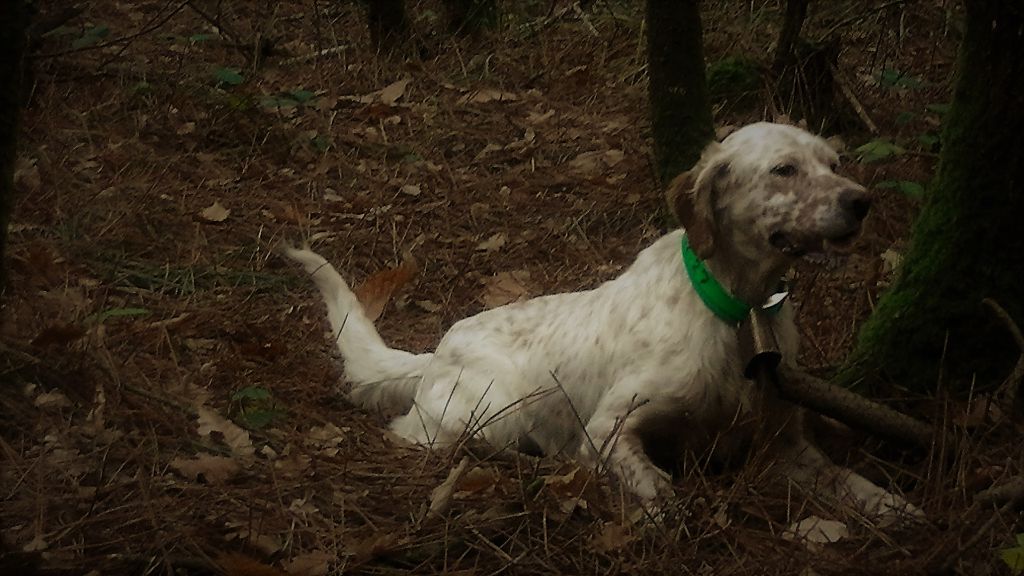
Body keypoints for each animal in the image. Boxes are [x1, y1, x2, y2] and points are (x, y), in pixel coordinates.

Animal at [286, 123, 921, 518]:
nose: (861, 201)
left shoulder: (784, 443)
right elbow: (657, 487)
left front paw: (896, 507)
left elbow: (849, 481)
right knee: (413, 434)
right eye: (784, 170)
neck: (738, 312)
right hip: (492, 413)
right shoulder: (609, 430)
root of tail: (436, 351)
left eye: (834, 163)